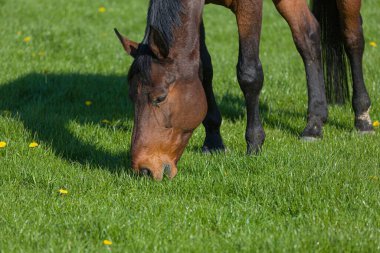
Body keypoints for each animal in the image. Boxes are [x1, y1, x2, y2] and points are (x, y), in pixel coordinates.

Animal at [114, 0, 372, 182]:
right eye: (131, 97)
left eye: (160, 98)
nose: (144, 169)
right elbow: (203, 69)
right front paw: (214, 141)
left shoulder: (250, 6)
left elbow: (249, 73)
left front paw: (255, 143)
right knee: (308, 36)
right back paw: (314, 124)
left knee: (353, 38)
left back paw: (362, 118)